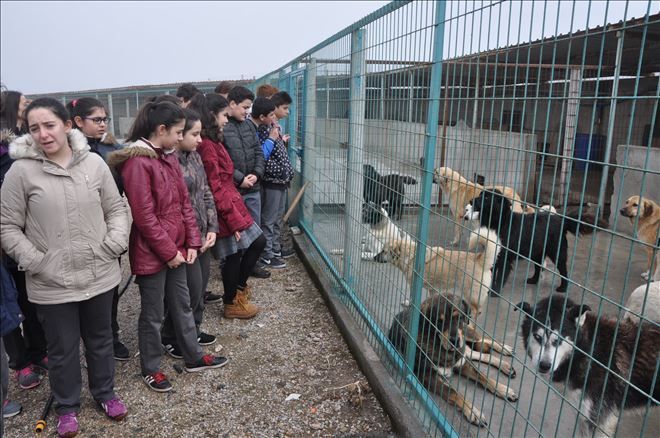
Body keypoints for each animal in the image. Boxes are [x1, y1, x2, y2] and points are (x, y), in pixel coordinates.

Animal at [384, 226, 520, 360]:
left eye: (384, 251)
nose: (377, 256)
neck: (409, 253)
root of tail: (479, 258)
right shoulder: (432, 289)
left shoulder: (414, 283)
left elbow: (412, 296)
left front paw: (409, 303)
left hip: (470, 294)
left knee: (476, 312)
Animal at [390, 292, 520, 426]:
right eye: (439, 321)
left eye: (459, 317)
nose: (454, 341)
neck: (438, 345)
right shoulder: (428, 376)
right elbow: (452, 391)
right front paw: (473, 411)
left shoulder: (461, 363)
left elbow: (482, 375)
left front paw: (502, 389)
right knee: (479, 354)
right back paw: (505, 365)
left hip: (467, 336)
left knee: (483, 340)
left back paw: (504, 350)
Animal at [464, 190, 604, 292]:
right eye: (480, 194)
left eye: (487, 198)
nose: (471, 201)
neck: (500, 221)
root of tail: (561, 220)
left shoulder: (505, 258)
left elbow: (499, 278)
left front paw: (495, 292)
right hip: (537, 253)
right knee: (538, 268)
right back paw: (533, 280)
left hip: (557, 253)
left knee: (563, 271)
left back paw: (563, 288)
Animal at [516, 296, 660, 436]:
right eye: (537, 336)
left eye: (558, 340)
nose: (544, 365)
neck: (587, 351)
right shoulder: (583, 416)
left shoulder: (600, 421)